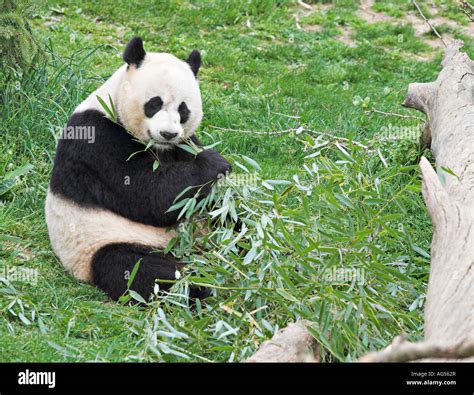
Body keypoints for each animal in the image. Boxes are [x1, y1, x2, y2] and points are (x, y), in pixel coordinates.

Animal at [45, 38, 231, 304]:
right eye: (154, 103)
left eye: (183, 109)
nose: (168, 134)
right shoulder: (96, 140)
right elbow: (147, 194)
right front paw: (215, 163)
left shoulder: (184, 144)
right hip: (105, 241)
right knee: (138, 268)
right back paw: (200, 286)